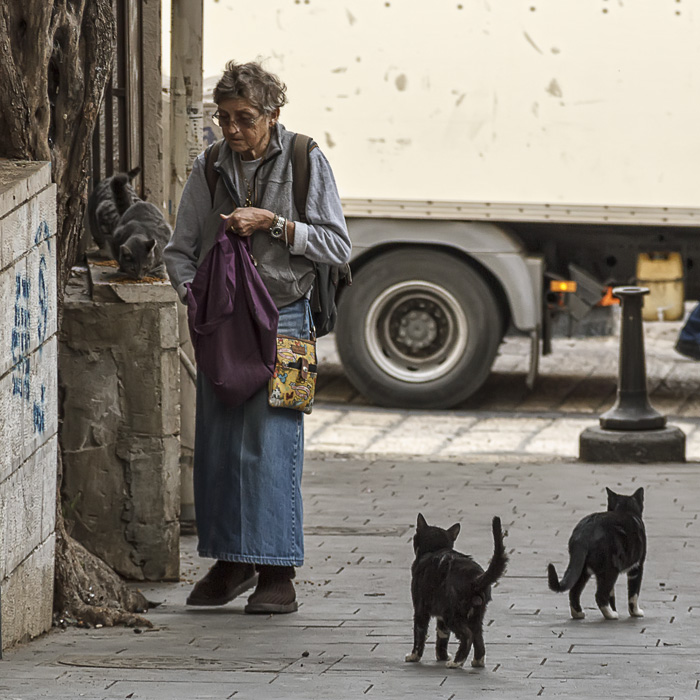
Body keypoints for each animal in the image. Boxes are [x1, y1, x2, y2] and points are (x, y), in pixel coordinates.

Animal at [404, 516, 508, 668]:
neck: (436, 549)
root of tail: (475, 578)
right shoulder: (440, 615)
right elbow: (442, 635)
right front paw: (442, 656)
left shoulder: (420, 608)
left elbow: (419, 633)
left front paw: (414, 656)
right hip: (476, 614)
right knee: (478, 637)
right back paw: (477, 661)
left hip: (451, 613)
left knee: (468, 635)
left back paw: (456, 662)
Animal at [548, 486, 644, 616]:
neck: (625, 510)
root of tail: (584, 533)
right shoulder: (637, 566)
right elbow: (634, 593)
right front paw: (636, 612)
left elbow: (611, 595)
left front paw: (614, 608)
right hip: (610, 568)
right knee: (600, 595)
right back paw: (611, 615)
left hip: (583, 568)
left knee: (574, 591)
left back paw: (579, 613)